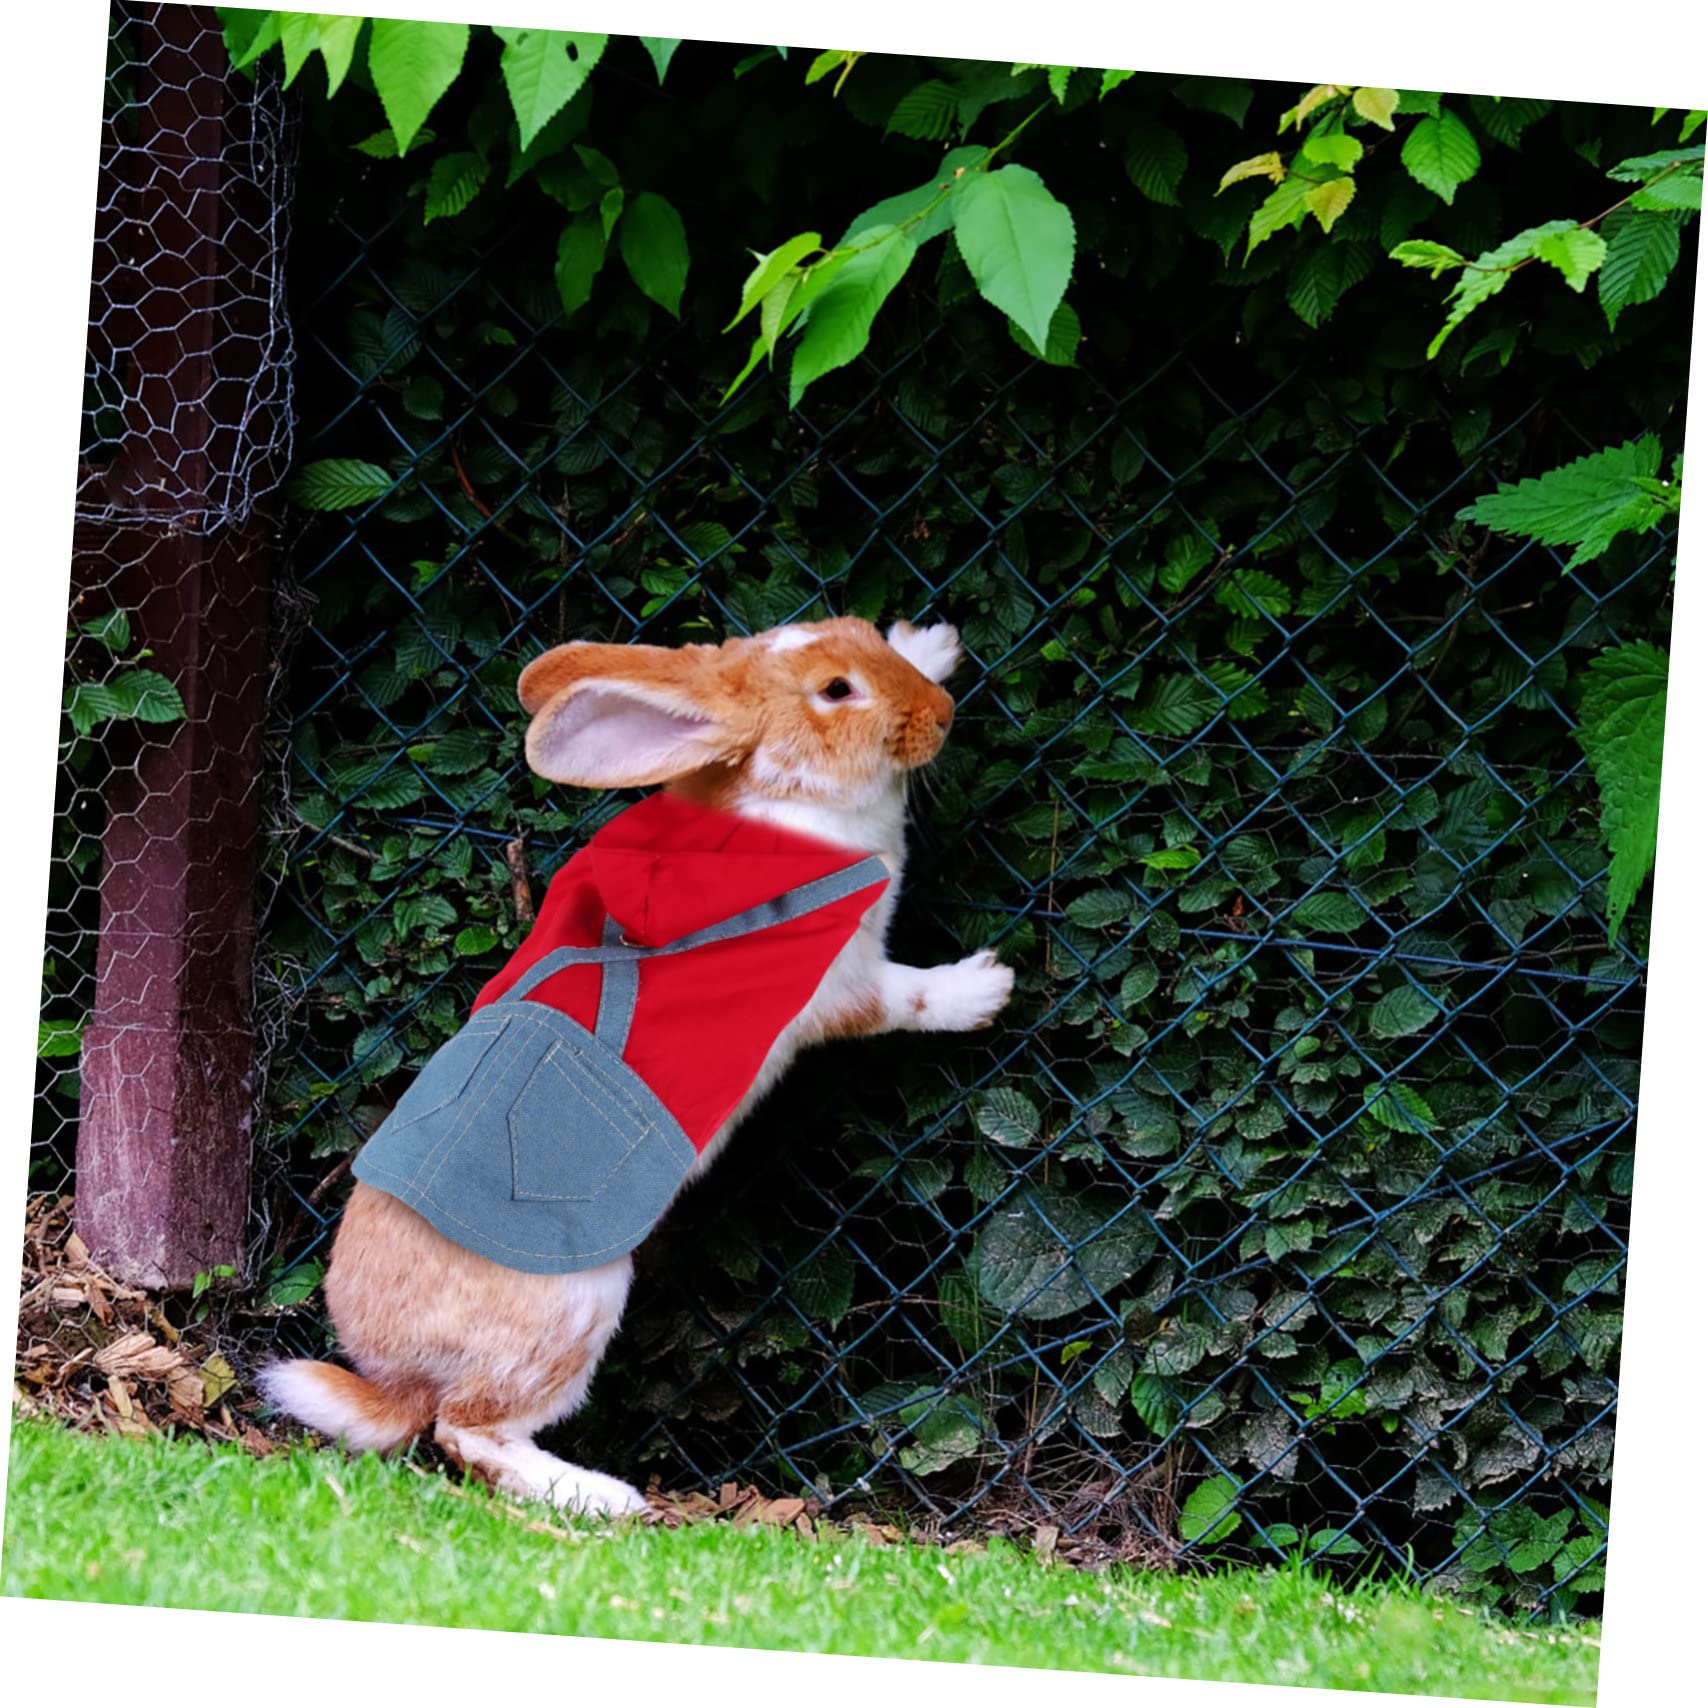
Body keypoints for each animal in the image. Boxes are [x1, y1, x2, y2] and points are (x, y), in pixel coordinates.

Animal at [257, 615, 1013, 1517]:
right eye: (836, 692)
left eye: (861, 636)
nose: (940, 713)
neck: (775, 794)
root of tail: (395, 1381)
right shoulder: (842, 982)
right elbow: (904, 998)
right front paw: (987, 987)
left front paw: (930, 639)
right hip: (570, 1310)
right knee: (467, 1432)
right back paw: (603, 1497)